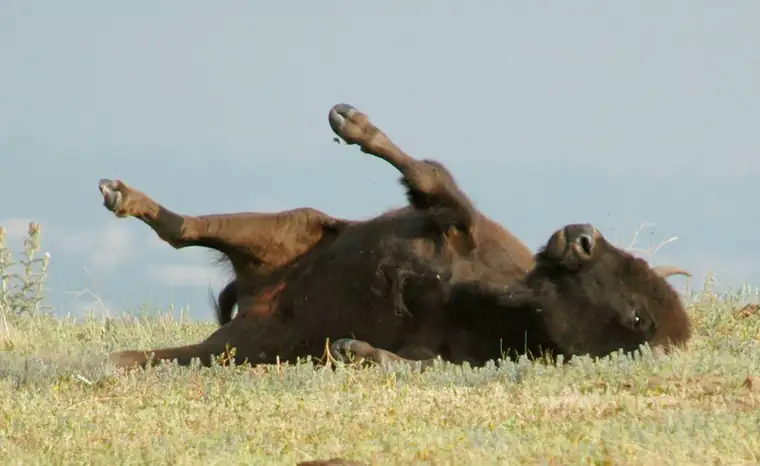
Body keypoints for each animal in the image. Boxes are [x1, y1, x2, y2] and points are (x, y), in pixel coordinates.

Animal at [100, 103, 692, 370]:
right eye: (631, 262)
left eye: (638, 317)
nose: (581, 235)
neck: (501, 304)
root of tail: (254, 304)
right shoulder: (460, 230)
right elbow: (436, 185)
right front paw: (351, 123)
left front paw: (348, 347)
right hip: (292, 228)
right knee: (187, 230)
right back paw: (120, 194)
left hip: (239, 347)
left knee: (158, 342)